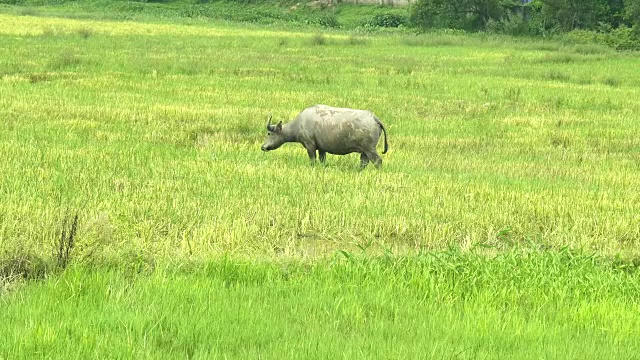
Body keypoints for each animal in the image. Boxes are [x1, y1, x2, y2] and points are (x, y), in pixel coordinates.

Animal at [260, 104, 390, 169]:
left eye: (269, 133)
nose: (263, 147)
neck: (300, 123)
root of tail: (374, 118)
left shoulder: (310, 146)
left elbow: (313, 160)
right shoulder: (322, 149)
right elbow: (322, 160)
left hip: (370, 149)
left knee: (377, 161)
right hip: (364, 151)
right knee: (363, 163)